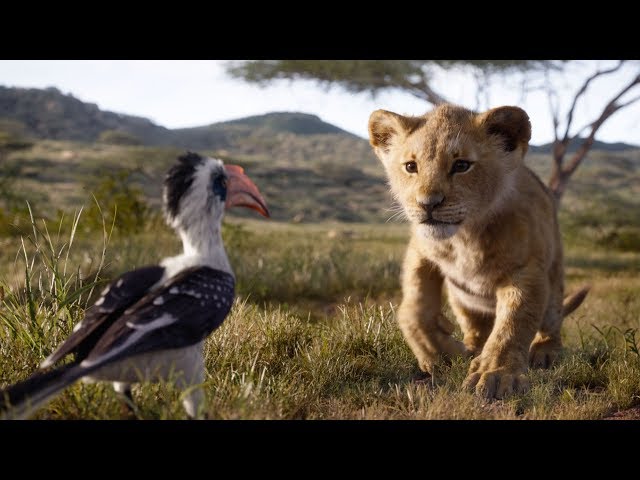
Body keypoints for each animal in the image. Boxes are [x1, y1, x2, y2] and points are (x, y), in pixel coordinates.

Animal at [368, 104, 589, 399]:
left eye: (461, 165)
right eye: (411, 167)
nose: (428, 204)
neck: (464, 236)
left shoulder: (526, 270)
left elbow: (512, 325)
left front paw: (495, 374)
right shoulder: (420, 249)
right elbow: (413, 309)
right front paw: (438, 352)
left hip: (554, 284)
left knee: (550, 322)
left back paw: (545, 353)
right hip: (462, 301)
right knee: (476, 329)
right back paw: (470, 348)